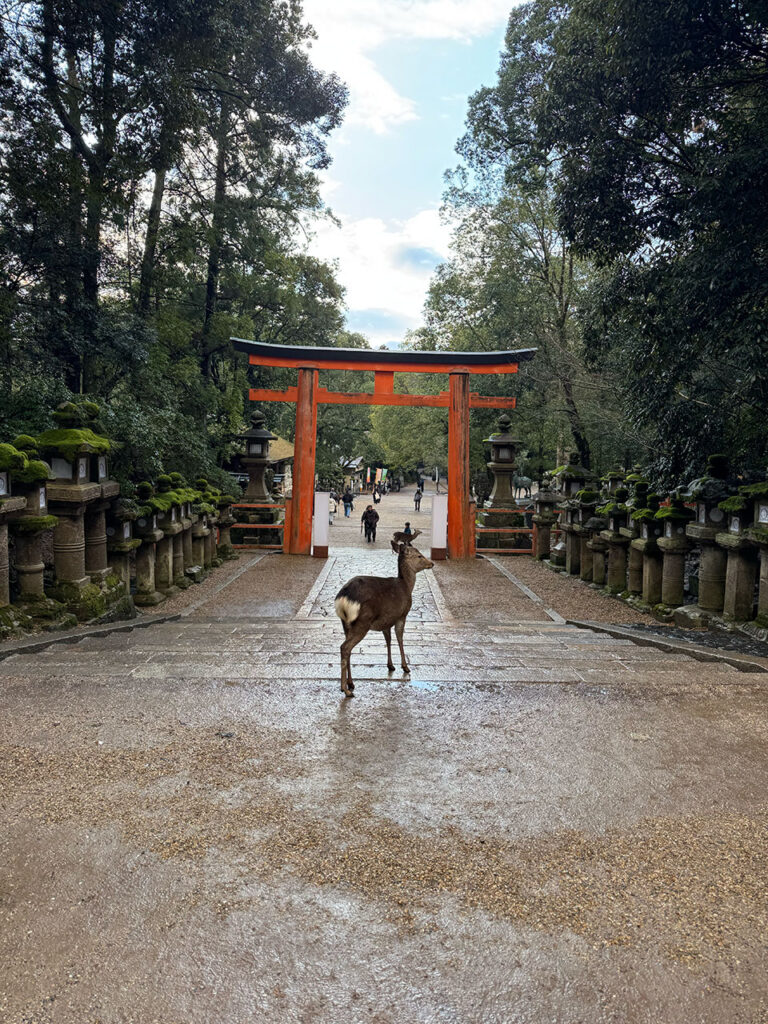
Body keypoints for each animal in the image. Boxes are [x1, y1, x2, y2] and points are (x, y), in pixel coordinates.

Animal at [334, 541, 434, 697]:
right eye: (419, 555)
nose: (431, 563)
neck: (406, 585)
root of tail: (343, 598)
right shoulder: (402, 615)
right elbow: (399, 638)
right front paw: (405, 667)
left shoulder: (386, 621)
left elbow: (388, 640)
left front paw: (390, 665)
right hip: (362, 622)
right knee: (345, 647)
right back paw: (346, 689)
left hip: (346, 623)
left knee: (347, 649)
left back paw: (351, 683)